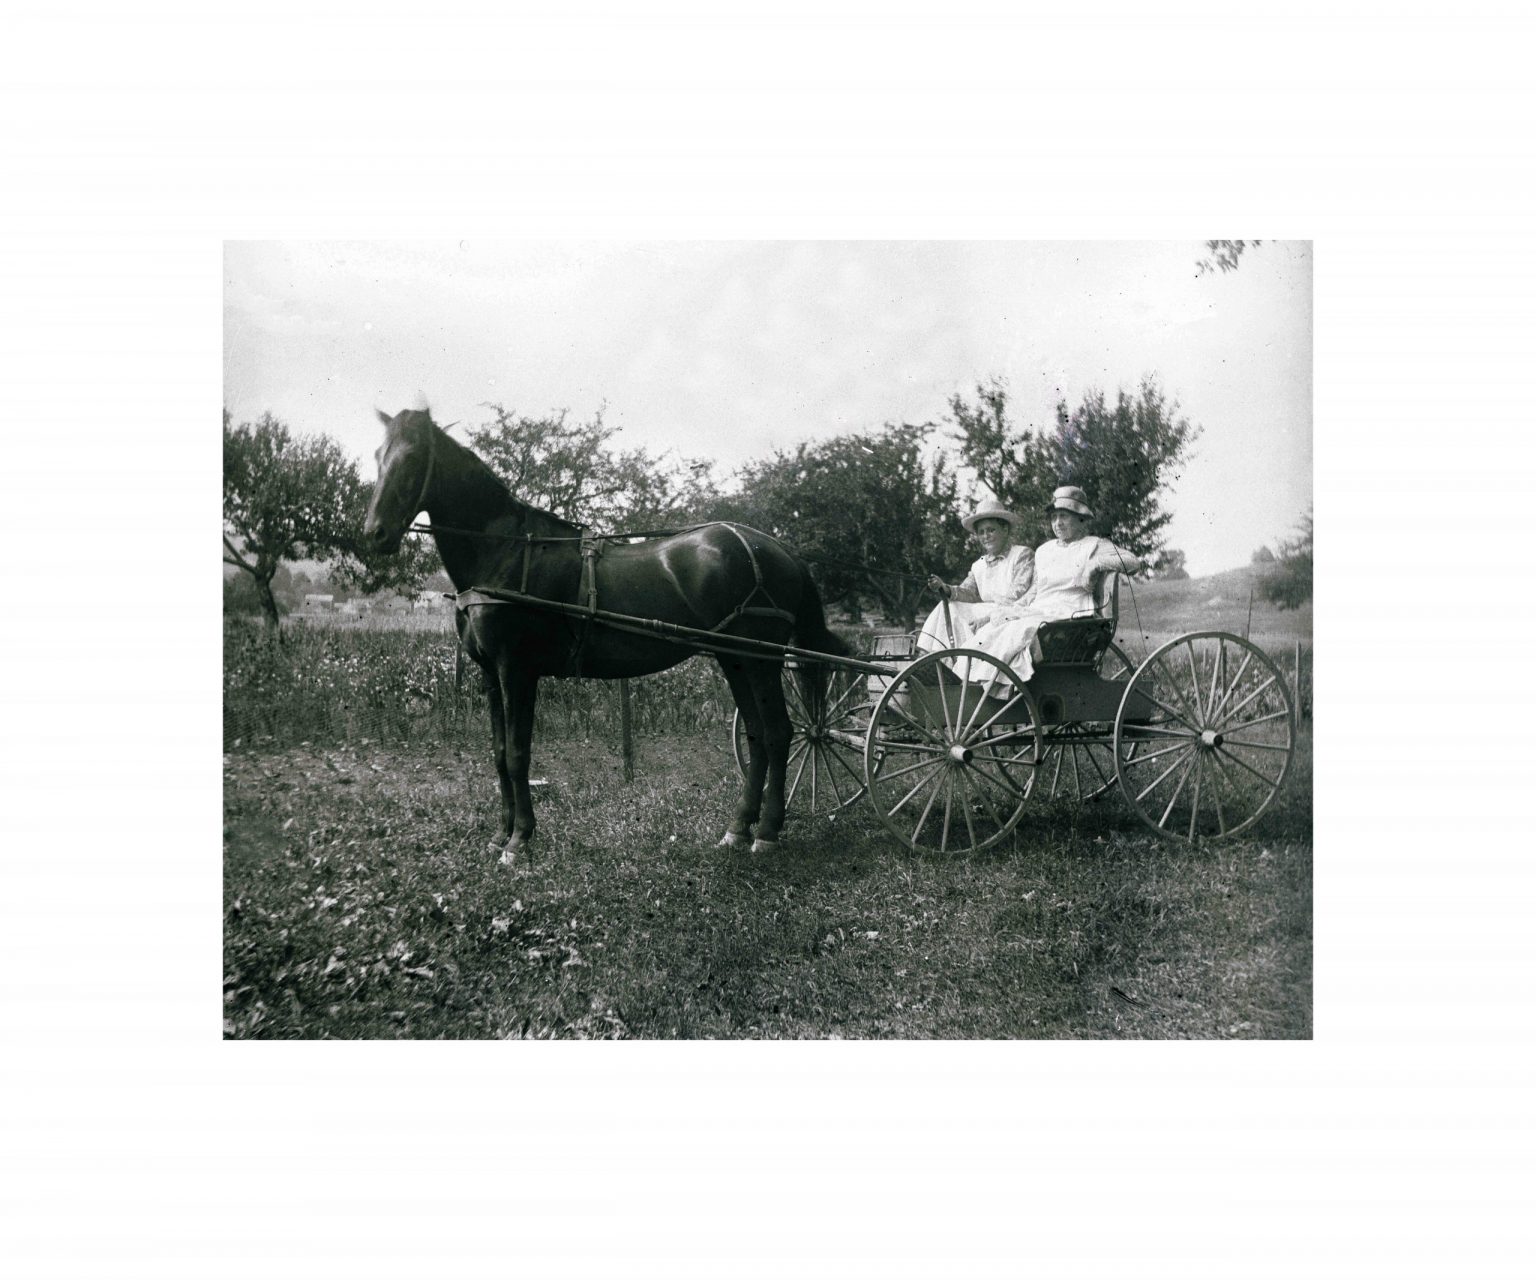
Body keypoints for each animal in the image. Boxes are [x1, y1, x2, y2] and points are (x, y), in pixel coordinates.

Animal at [360, 405, 854, 866]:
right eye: (378, 456)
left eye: (412, 457)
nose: (375, 534)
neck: (505, 552)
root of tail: (777, 547)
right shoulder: (489, 675)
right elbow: (499, 754)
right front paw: (500, 835)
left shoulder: (516, 670)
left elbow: (519, 753)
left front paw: (520, 840)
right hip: (734, 657)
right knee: (755, 735)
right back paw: (738, 827)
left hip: (761, 659)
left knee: (778, 732)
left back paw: (767, 832)